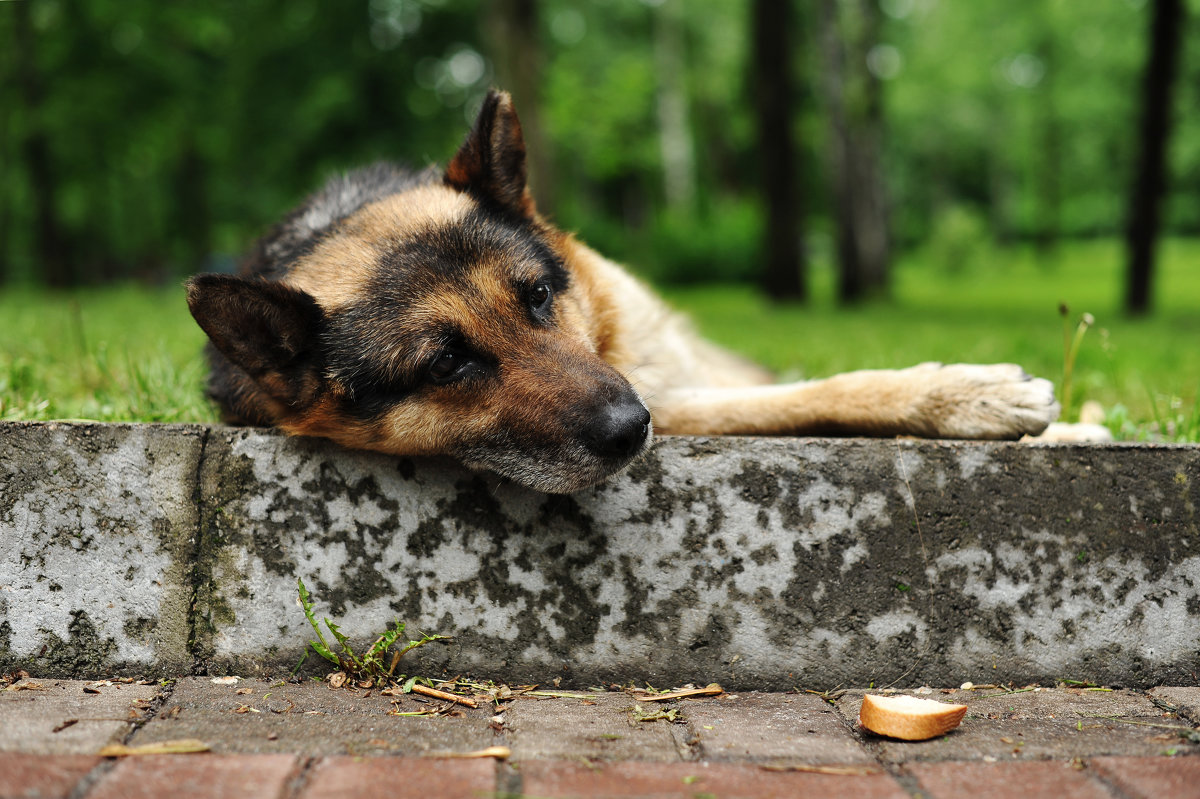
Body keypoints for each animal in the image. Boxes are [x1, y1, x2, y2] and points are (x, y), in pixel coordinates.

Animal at [187, 88, 1060, 491]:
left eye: (537, 296)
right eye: (445, 365)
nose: (630, 427)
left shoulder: (673, 379)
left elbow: (824, 386)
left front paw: (978, 396)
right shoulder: (682, 401)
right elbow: (819, 395)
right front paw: (970, 396)